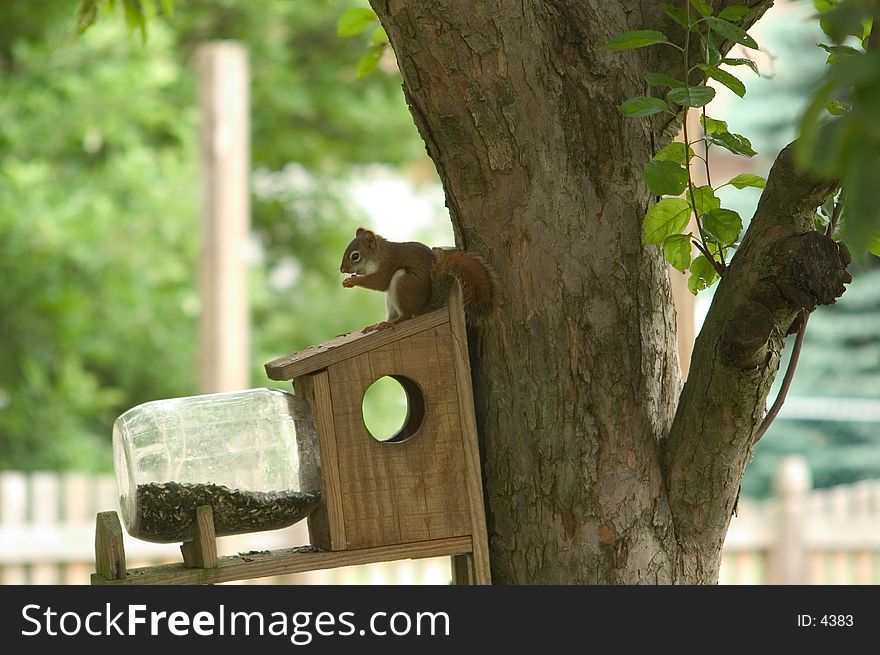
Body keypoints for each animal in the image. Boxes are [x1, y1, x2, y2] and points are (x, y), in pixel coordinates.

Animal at [342, 228, 498, 334]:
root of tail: (423, 307)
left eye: (355, 256)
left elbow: (379, 282)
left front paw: (351, 281)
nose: (342, 269)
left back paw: (390, 323)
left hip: (403, 282)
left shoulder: (387, 264)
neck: (379, 253)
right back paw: (379, 324)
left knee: (406, 315)